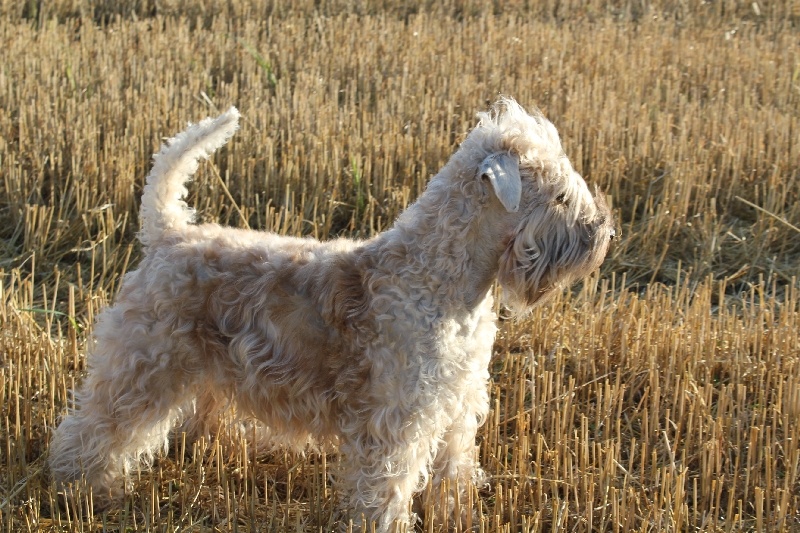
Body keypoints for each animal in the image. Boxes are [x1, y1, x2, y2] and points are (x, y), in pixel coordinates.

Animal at [48, 97, 612, 528]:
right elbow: (388, 485)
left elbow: (453, 471)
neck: (442, 281)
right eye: (560, 195)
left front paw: (459, 516)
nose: (603, 231)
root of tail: (168, 234)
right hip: (143, 364)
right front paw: (386, 524)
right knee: (94, 426)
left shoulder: (457, 403)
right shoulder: (398, 420)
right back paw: (82, 489)